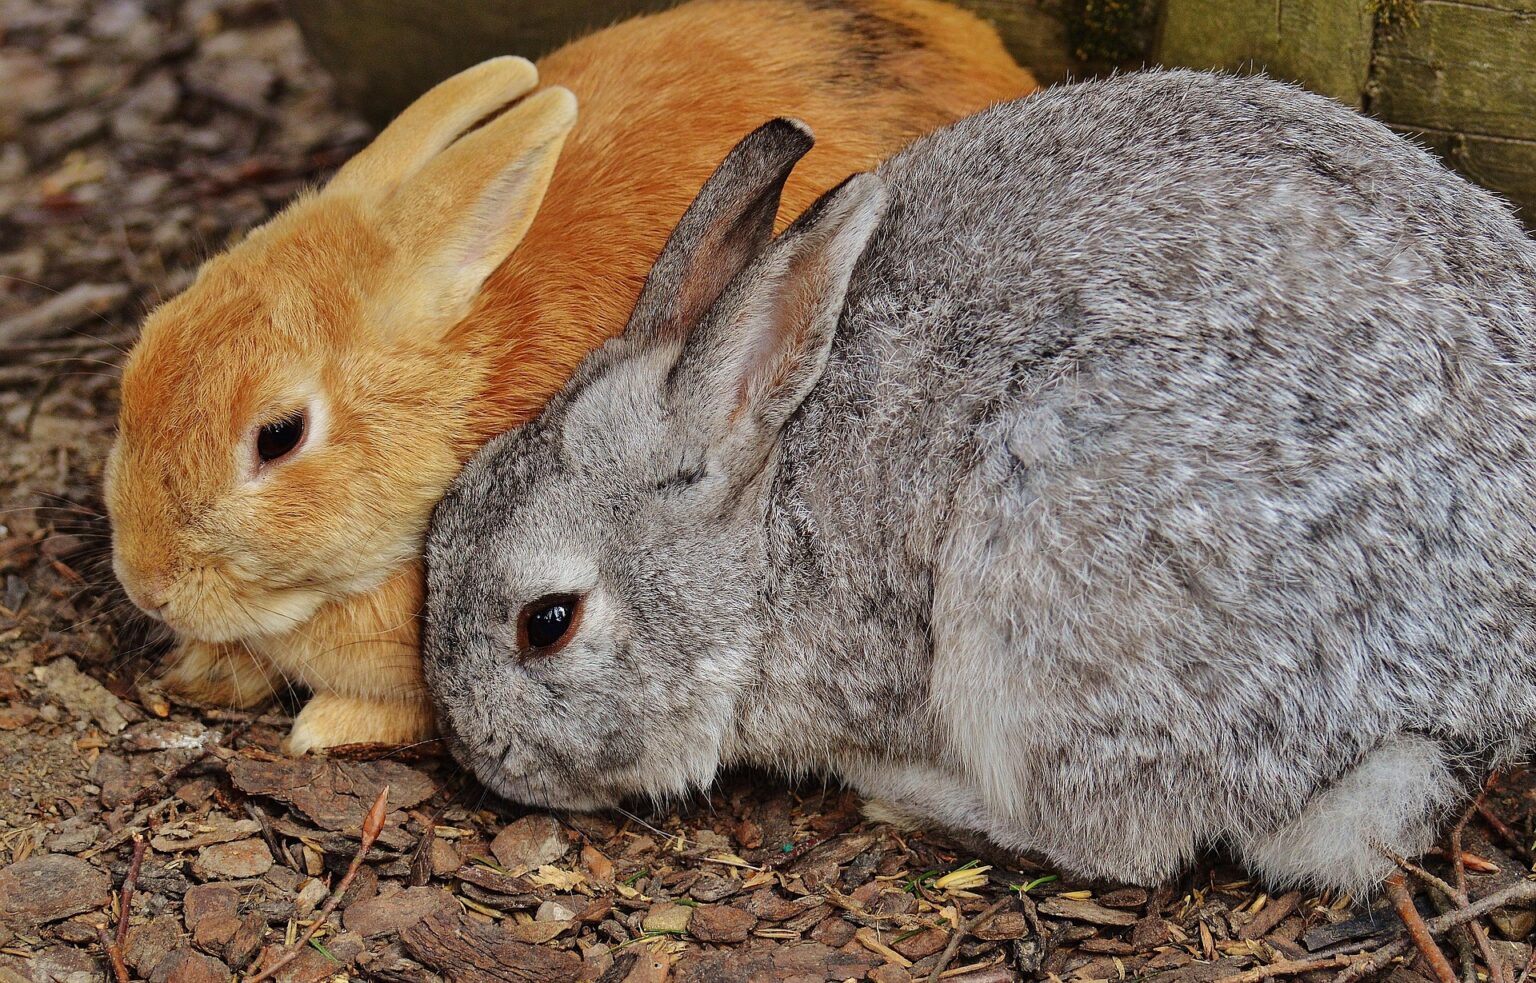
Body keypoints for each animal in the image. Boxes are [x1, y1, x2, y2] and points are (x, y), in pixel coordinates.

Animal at [420, 68, 1536, 892]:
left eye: (547, 621)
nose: (477, 751)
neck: (766, 529)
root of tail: (1464, 702)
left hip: (1055, 567)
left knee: (1120, 841)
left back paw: (904, 790)